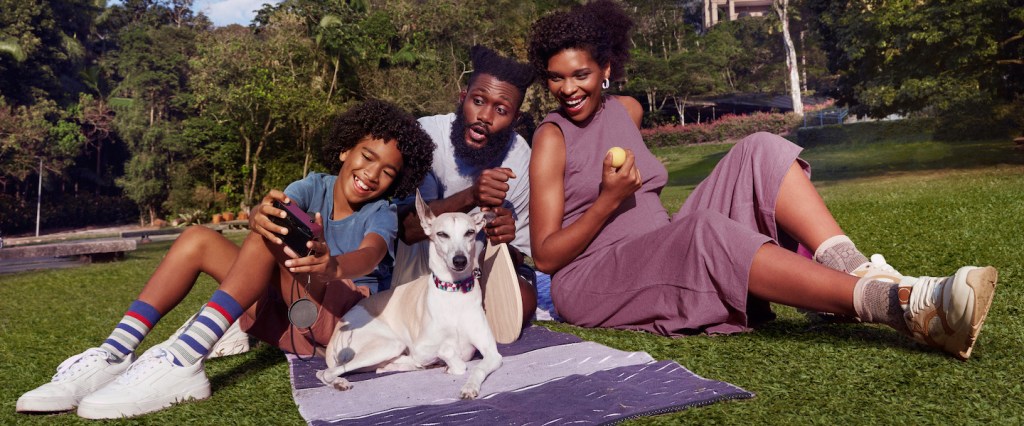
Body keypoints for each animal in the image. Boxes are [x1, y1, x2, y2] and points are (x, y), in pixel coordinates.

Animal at [313, 192, 501, 399]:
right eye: (442, 234)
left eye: (469, 232)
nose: (459, 261)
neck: (454, 292)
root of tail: (336, 331)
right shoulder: (421, 348)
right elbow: (449, 352)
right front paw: (449, 363)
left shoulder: (493, 353)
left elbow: (477, 368)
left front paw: (469, 386)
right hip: (390, 343)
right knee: (325, 372)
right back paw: (340, 382)